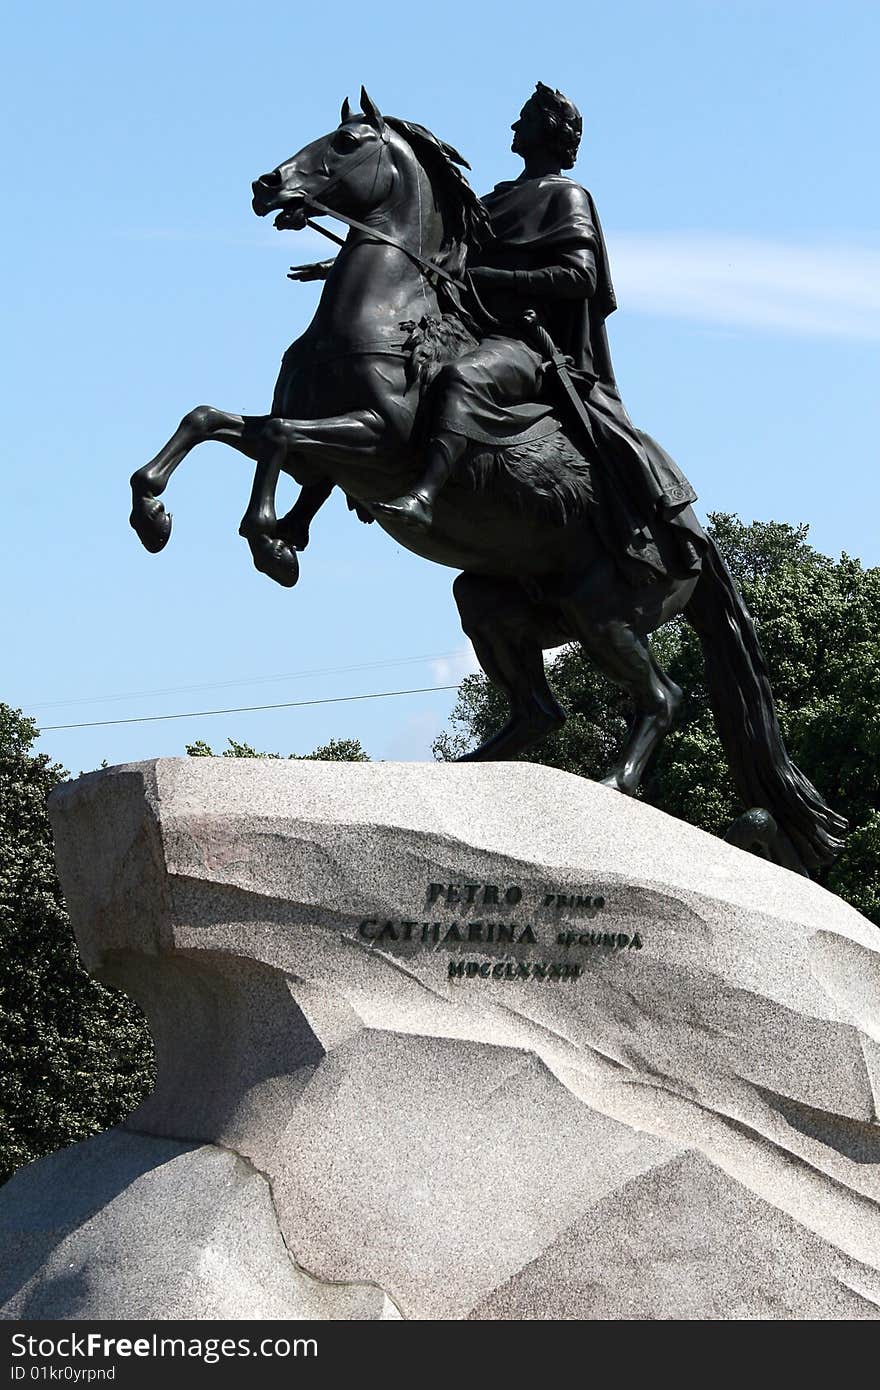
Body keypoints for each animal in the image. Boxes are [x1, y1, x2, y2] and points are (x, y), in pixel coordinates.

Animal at [130, 89, 845, 867]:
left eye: (347, 142)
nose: (267, 187)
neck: (387, 316)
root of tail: (698, 538)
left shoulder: (375, 441)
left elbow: (278, 440)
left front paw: (271, 542)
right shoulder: (317, 441)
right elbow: (212, 421)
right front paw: (156, 516)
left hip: (603, 615)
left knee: (664, 697)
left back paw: (614, 783)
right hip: (494, 603)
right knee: (541, 710)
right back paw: (472, 771)